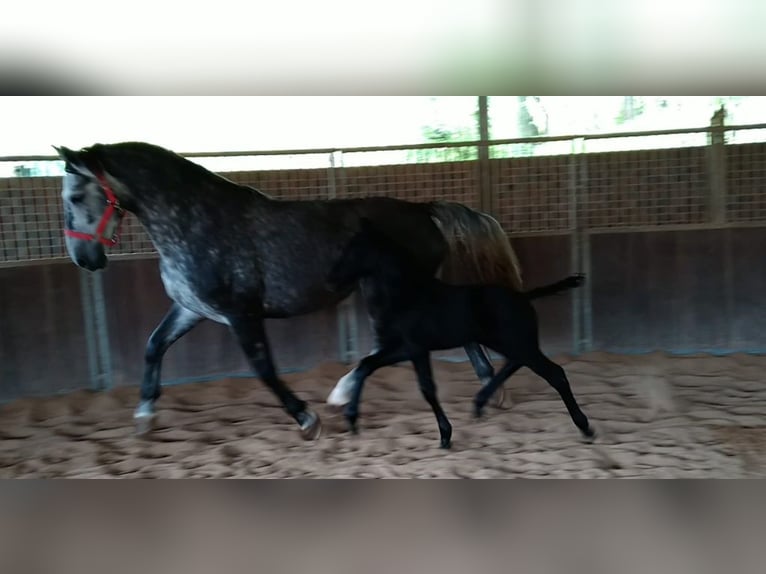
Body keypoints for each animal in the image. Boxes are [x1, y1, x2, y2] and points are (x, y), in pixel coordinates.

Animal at [54, 141, 525, 440]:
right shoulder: (192, 309)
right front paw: (144, 417)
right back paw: (491, 390)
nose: (85, 259)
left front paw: (307, 420)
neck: (194, 220)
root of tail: (425, 211)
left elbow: (265, 370)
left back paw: (343, 393)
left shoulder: (241, 315)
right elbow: (154, 346)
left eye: (75, 196)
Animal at [326, 219, 593, 449]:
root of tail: (523, 297)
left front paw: (445, 435)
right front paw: (351, 420)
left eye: (353, 249)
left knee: (554, 373)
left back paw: (585, 428)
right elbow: (366, 365)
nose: (331, 281)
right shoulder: (402, 348)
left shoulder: (416, 348)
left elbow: (427, 388)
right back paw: (479, 403)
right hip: (507, 342)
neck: (408, 294)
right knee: (514, 363)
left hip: (515, 342)